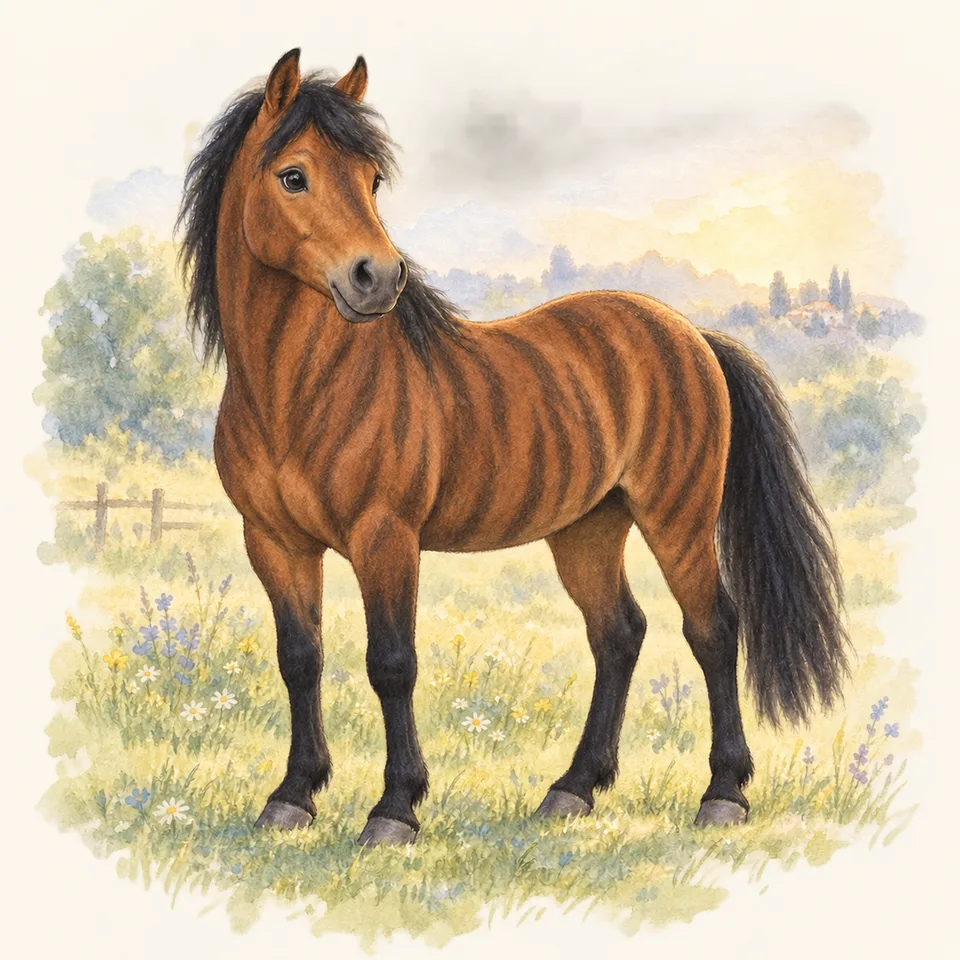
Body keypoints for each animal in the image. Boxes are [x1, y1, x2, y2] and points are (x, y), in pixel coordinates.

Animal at [177, 49, 849, 846]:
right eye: (292, 176)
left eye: (371, 180)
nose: (377, 278)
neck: (299, 392)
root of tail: (690, 335)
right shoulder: (274, 542)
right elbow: (300, 660)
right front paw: (292, 796)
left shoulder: (385, 537)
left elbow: (391, 663)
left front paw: (394, 809)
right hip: (588, 528)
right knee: (618, 634)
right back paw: (573, 789)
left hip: (677, 520)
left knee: (712, 630)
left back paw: (722, 794)